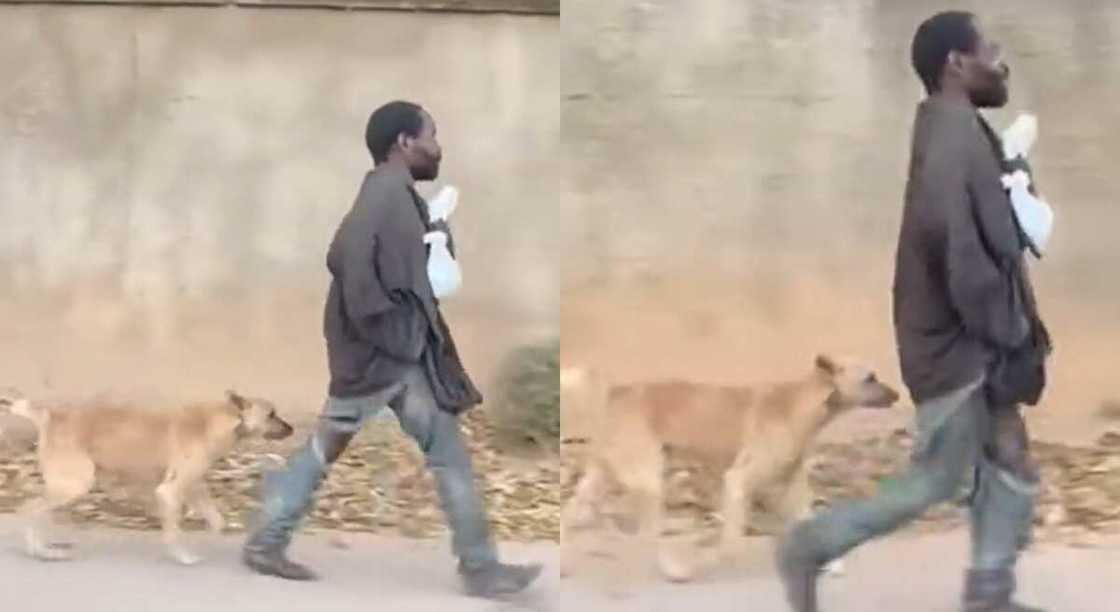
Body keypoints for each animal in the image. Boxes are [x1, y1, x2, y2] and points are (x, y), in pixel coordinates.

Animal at [0, 385, 293, 562]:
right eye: (271, 414)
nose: (291, 429)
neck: (222, 421)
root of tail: (51, 415)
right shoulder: (171, 491)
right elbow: (173, 530)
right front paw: (182, 555)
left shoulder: (194, 486)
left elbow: (216, 520)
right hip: (75, 484)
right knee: (29, 510)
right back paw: (39, 550)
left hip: (67, 485)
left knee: (39, 512)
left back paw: (47, 546)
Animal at [560, 351, 900, 578]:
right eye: (870, 378)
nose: (898, 395)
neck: (801, 402)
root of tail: (616, 391)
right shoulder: (739, 480)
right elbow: (732, 539)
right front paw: (714, 560)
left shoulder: (793, 488)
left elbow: (806, 519)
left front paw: (831, 563)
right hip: (648, 480)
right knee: (649, 535)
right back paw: (674, 569)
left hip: (602, 477)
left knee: (571, 514)